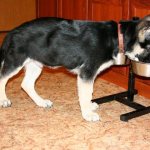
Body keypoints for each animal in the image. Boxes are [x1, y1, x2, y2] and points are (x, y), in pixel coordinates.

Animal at [0, 16, 148, 121]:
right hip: (16, 61)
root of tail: (13, 31)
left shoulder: (89, 75)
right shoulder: (86, 73)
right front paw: (88, 114)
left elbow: (89, 93)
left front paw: (89, 107)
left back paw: (41, 102)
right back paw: (3, 100)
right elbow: (86, 94)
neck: (117, 37)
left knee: (26, 84)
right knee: (2, 78)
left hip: (35, 64)